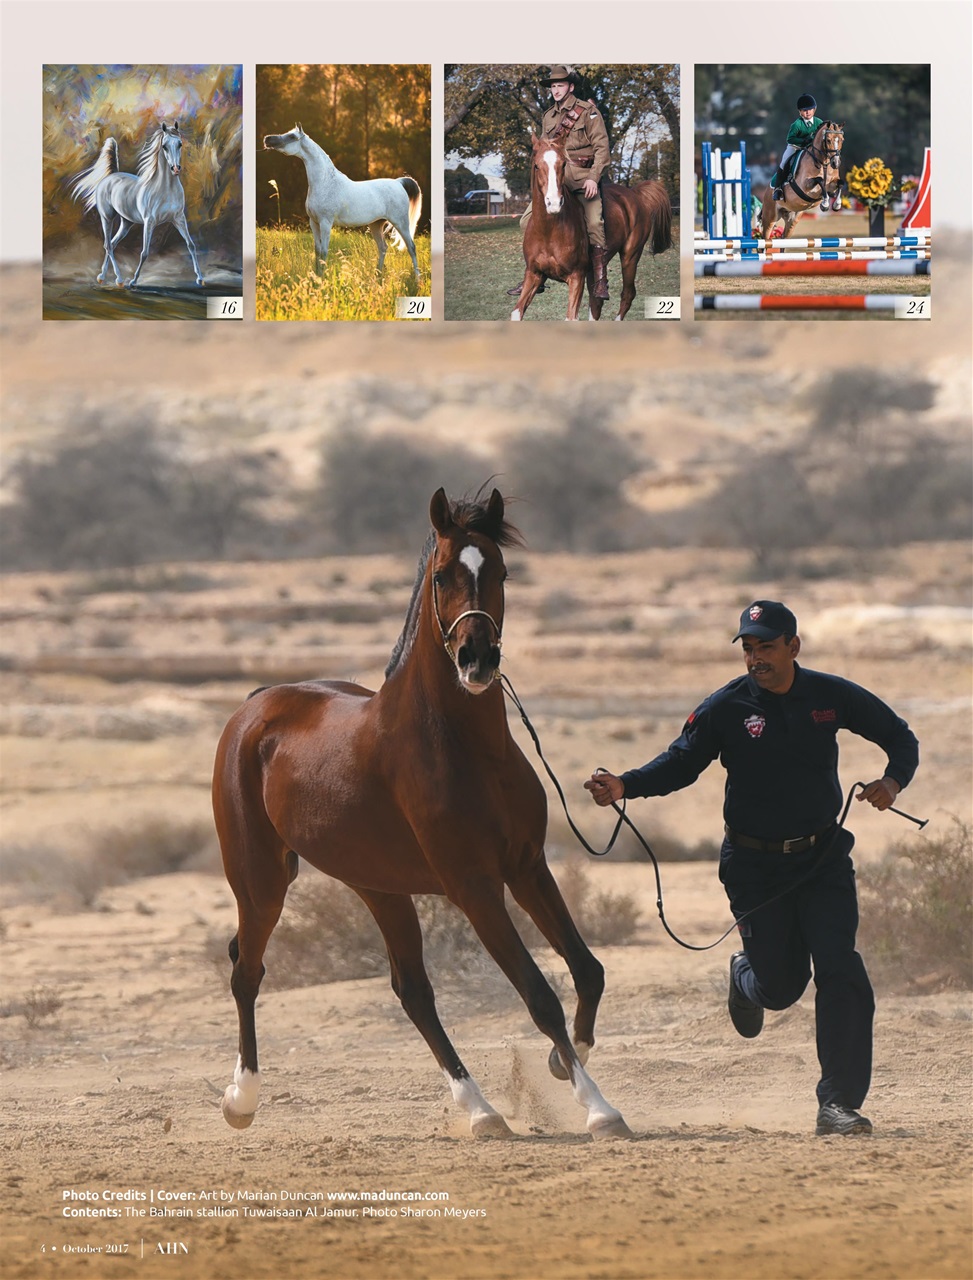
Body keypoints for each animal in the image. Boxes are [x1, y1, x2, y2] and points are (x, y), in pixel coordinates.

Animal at [70, 121, 203, 288]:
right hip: (107, 218)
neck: (165, 190)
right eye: (164, 146)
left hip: (126, 223)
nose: (175, 168)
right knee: (108, 245)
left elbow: (191, 245)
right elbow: (144, 252)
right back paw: (119, 279)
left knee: (112, 244)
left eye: (180, 144)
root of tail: (111, 176)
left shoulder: (179, 218)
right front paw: (133, 281)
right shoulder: (149, 222)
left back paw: (102, 277)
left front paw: (200, 279)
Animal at [213, 488, 631, 1142]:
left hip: (380, 888)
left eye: (501, 572)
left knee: (412, 991)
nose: (477, 660)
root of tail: (254, 708)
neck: (465, 749)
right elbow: (540, 995)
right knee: (247, 972)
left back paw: (482, 1111)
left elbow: (587, 972)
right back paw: (241, 1100)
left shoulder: (527, 867)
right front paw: (599, 1109)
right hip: (261, 884)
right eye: (442, 576)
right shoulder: (475, 887)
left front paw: (563, 1064)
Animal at [263, 124, 422, 279]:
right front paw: (316, 276)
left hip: (401, 223)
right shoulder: (314, 223)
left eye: (292, 136)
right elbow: (317, 251)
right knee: (383, 248)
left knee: (411, 247)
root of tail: (398, 182)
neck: (326, 182)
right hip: (376, 224)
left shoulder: (325, 223)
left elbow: (324, 251)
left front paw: (322, 278)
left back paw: (417, 279)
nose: (267, 139)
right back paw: (378, 276)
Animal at [511, 134, 672, 322]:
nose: (554, 203)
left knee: (627, 294)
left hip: (630, 257)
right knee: (596, 303)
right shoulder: (534, 275)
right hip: (593, 270)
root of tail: (635, 193)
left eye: (563, 164)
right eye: (536, 166)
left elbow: (571, 317)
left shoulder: (576, 277)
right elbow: (516, 312)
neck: (548, 231)